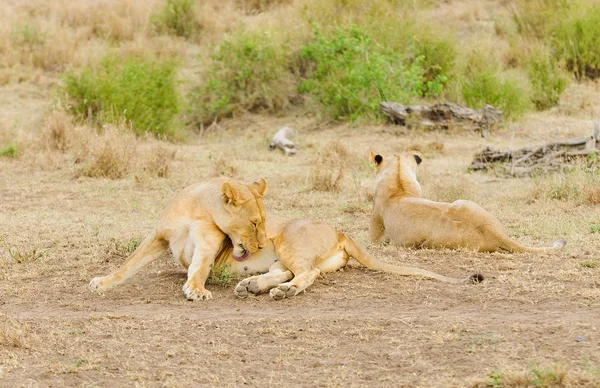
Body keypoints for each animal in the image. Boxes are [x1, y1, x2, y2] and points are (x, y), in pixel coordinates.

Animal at [89, 177, 482, 302]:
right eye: (254, 222)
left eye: (264, 222)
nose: (261, 244)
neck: (198, 208)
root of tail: (340, 231)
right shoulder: (158, 237)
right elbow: (128, 264)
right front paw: (102, 282)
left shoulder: (210, 243)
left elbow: (198, 267)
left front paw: (197, 289)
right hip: (284, 255)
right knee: (288, 272)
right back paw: (253, 286)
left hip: (291, 244)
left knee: (306, 274)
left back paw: (281, 292)